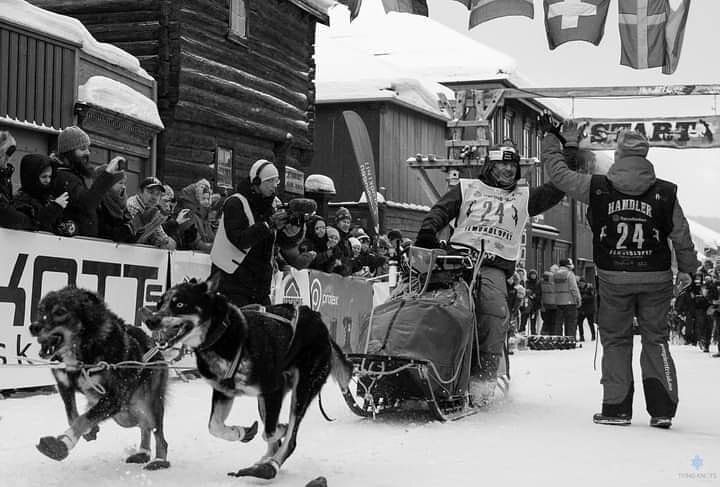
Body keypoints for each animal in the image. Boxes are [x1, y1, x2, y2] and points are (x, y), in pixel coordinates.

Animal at [29, 288, 170, 470]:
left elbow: (82, 419)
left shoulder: (114, 397)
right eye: (40, 311)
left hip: (150, 403)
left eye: (60, 312)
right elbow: (73, 416)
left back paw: (159, 460)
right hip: (126, 414)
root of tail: (153, 342)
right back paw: (143, 453)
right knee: (144, 425)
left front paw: (61, 445)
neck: (84, 349)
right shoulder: (64, 386)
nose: (33, 327)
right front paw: (88, 431)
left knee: (157, 431)